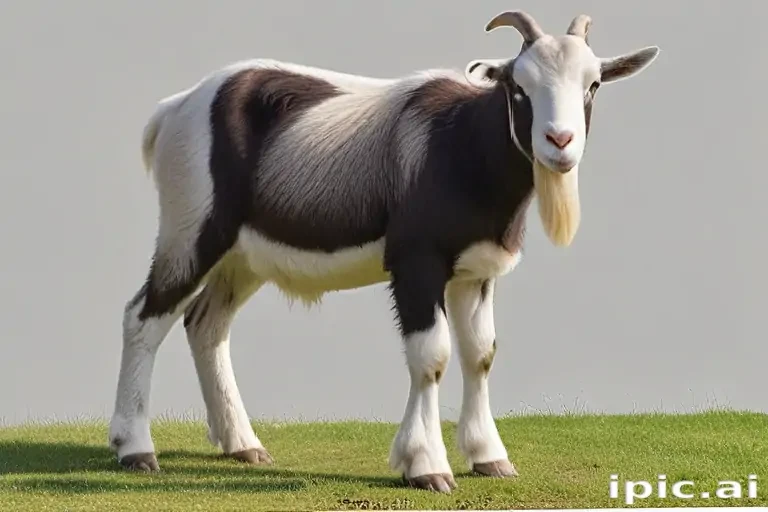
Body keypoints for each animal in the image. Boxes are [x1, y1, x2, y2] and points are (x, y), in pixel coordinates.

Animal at [108, 10, 659, 492]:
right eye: (517, 86)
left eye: (592, 84)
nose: (559, 141)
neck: (461, 142)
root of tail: (176, 107)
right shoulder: (417, 264)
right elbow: (431, 356)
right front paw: (426, 466)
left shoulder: (474, 273)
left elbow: (480, 354)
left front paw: (489, 458)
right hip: (192, 233)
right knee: (143, 317)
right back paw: (135, 448)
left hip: (242, 259)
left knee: (206, 325)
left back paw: (243, 444)